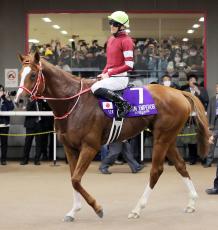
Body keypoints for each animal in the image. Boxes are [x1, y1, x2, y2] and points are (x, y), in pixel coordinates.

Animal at [15, 52, 209, 221]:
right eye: (20, 74)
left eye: (33, 74)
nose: (19, 100)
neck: (73, 103)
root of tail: (178, 92)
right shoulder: (70, 148)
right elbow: (73, 179)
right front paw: (73, 211)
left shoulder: (90, 147)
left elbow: (76, 179)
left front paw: (97, 208)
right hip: (168, 137)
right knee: (180, 165)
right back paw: (191, 202)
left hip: (162, 137)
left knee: (156, 170)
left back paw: (137, 209)